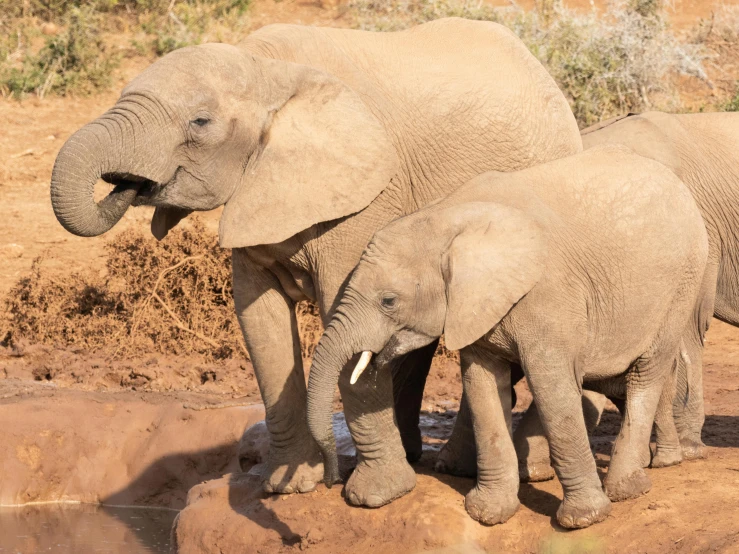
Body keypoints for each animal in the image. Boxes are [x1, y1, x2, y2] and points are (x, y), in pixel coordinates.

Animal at [49, 17, 588, 504]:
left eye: (200, 122)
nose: (128, 185)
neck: (265, 68)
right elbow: (260, 322)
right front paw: (289, 486)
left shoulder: (367, 198)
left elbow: (342, 313)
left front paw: (375, 496)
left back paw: (460, 468)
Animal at [308, 143, 712, 528]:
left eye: (389, 301)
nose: (329, 479)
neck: (446, 219)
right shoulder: (475, 308)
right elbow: (483, 386)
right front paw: (488, 514)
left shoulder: (548, 294)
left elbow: (553, 390)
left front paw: (583, 519)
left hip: (683, 282)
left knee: (647, 373)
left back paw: (628, 488)